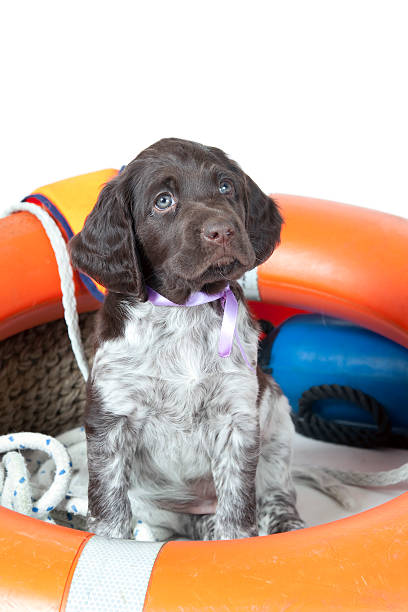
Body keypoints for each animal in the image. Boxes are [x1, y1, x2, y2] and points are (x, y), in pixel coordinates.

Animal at [68, 139, 304, 540]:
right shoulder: (111, 418)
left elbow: (237, 509)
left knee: (277, 495)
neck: (185, 309)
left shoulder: (236, 418)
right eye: (163, 201)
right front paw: (109, 543)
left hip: (276, 420)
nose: (222, 230)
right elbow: (109, 507)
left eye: (226, 187)